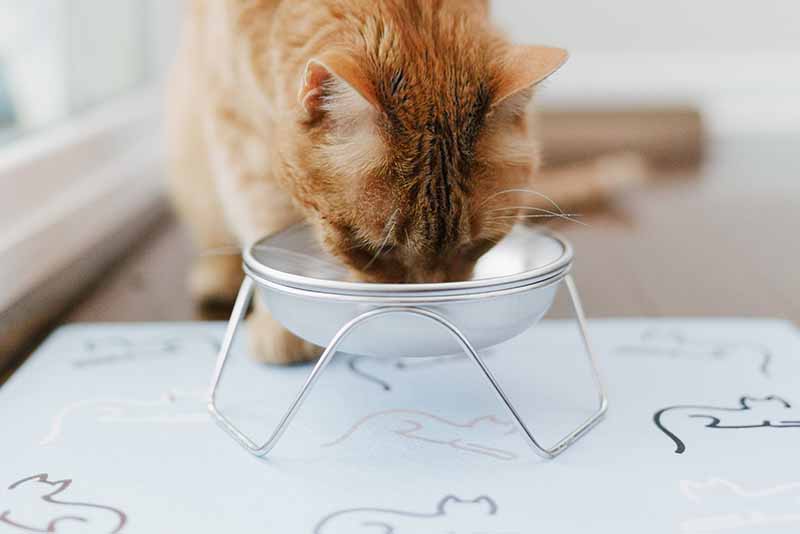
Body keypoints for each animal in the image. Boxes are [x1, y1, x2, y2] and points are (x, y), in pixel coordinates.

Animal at [169, 0, 636, 364]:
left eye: (476, 245)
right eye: (375, 249)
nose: (426, 308)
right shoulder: (235, 124)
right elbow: (263, 213)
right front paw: (281, 326)